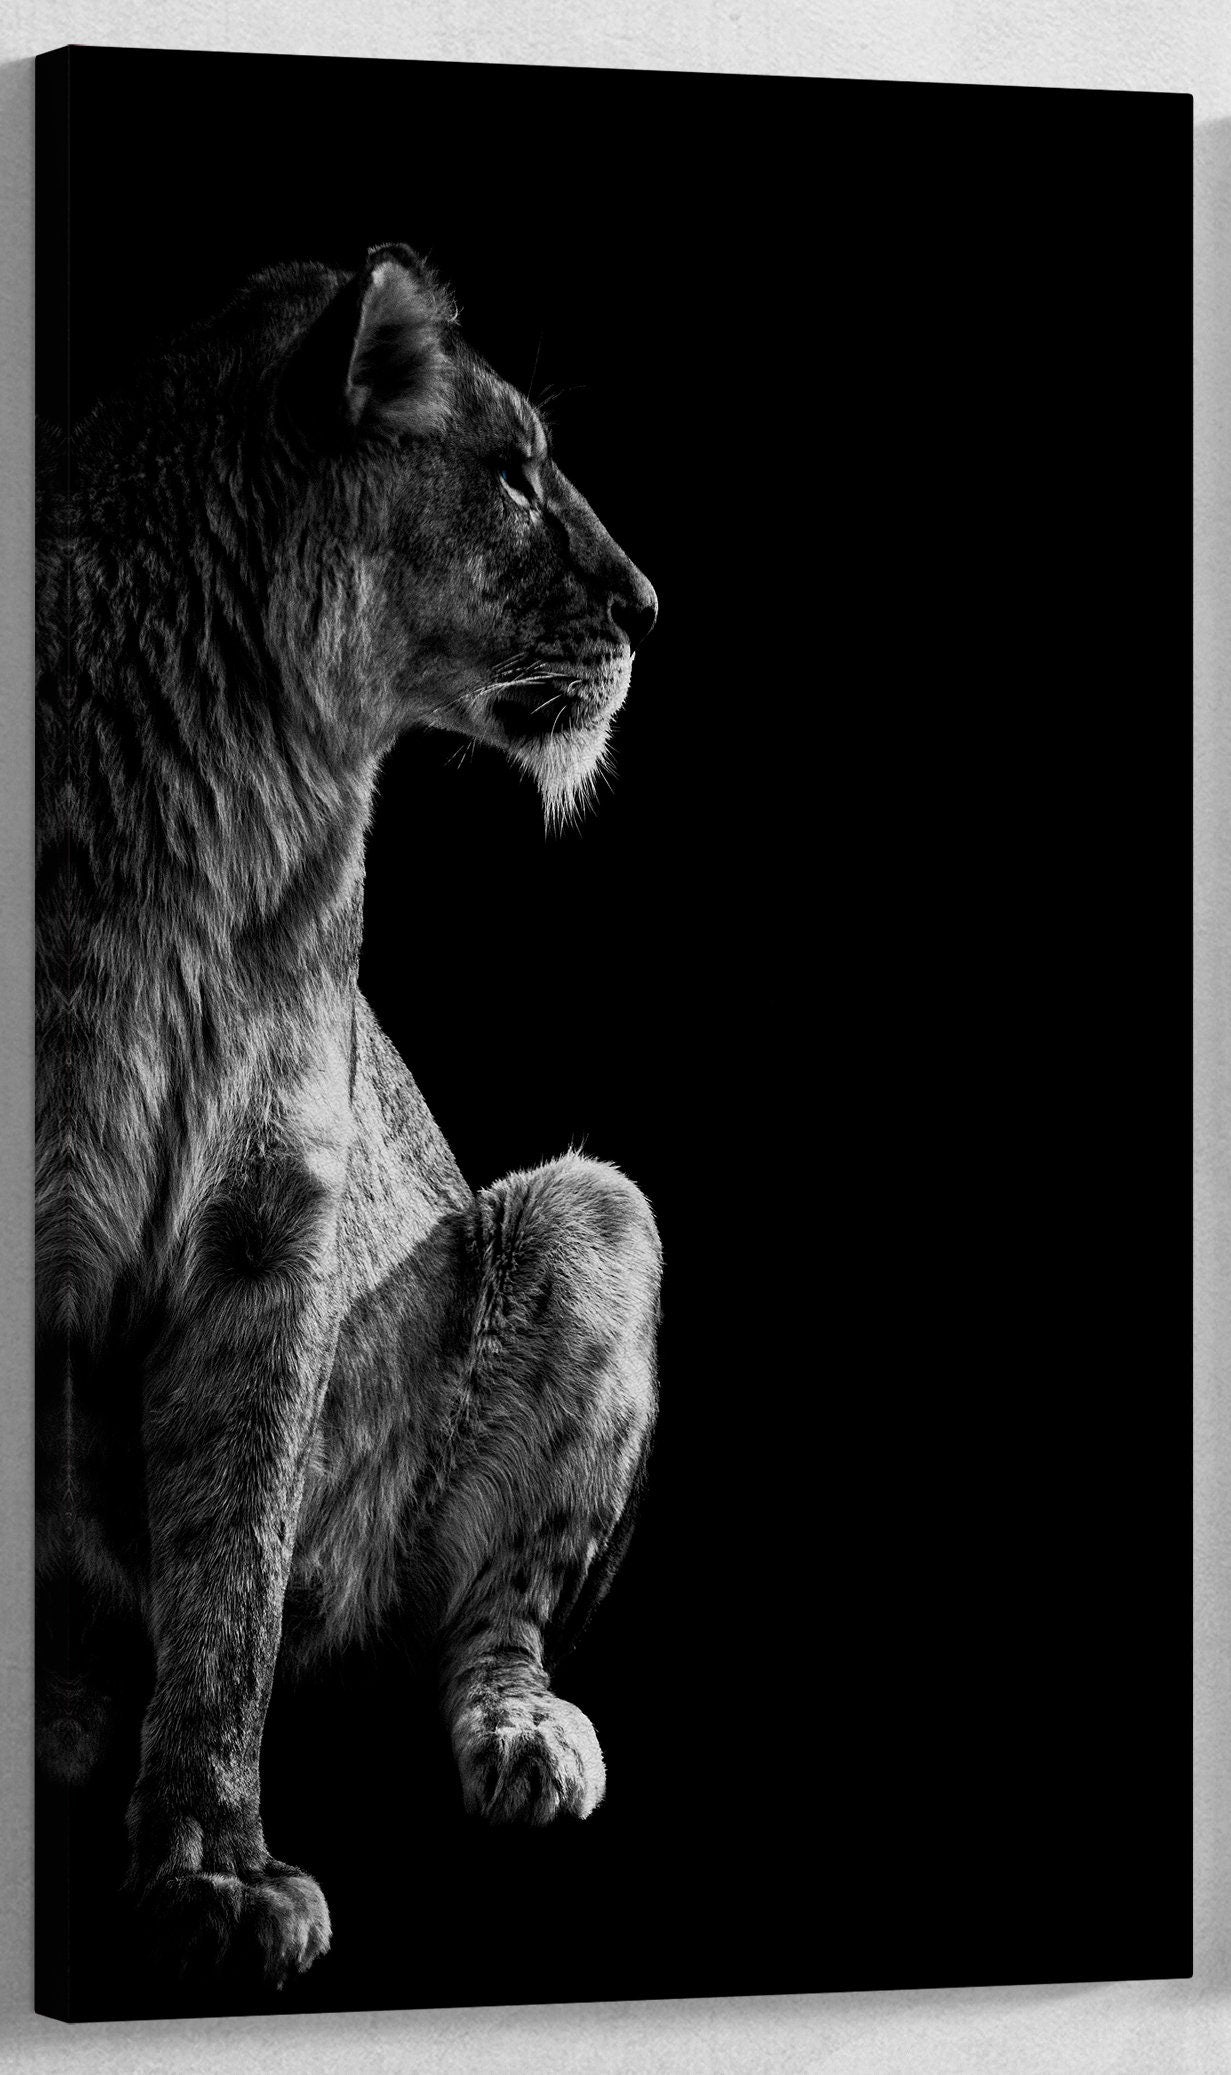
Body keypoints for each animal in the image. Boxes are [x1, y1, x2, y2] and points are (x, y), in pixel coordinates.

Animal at [35, 242, 662, 1993]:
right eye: (513, 472)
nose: (649, 606)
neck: (246, 777)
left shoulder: (272, 1220)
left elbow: (232, 1571)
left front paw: (213, 1863)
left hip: (596, 1213)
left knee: (476, 1622)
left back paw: (522, 1736)